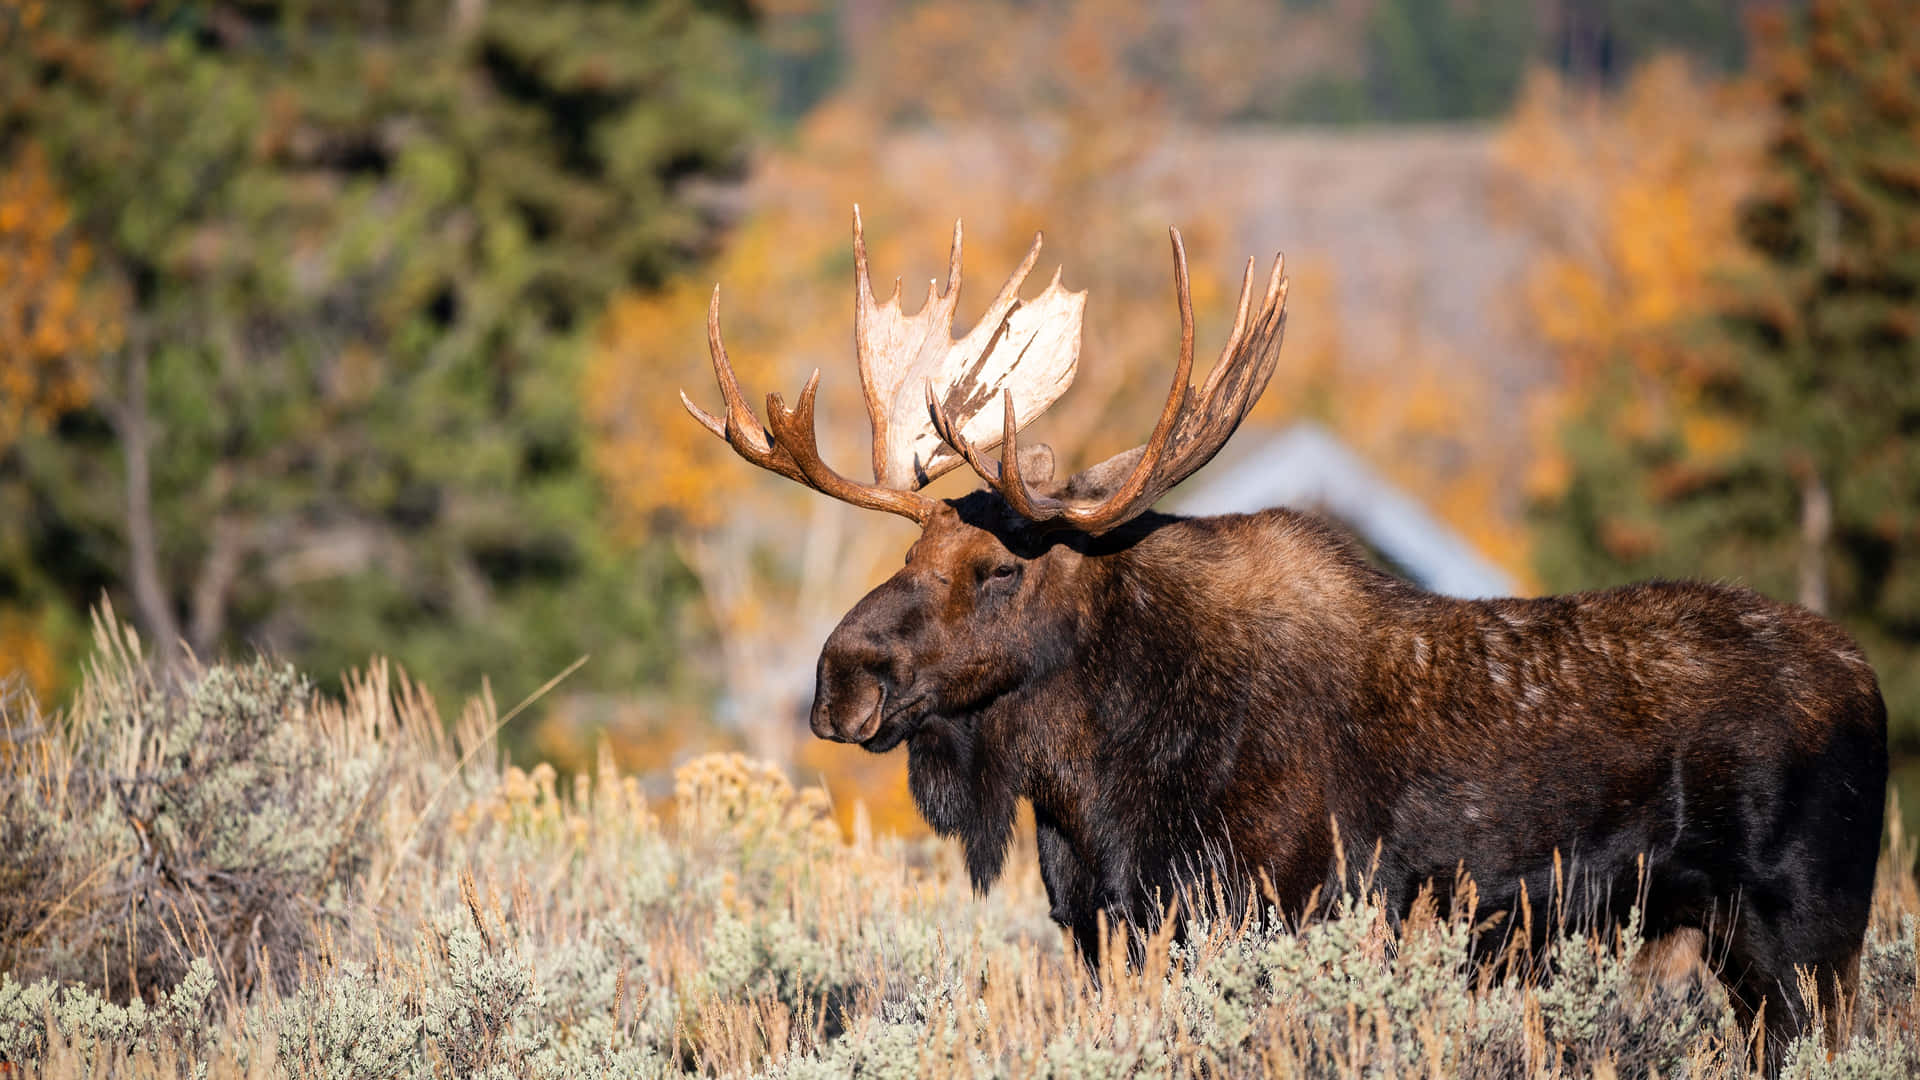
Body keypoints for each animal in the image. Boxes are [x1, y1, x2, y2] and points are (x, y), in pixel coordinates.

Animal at [683, 210, 1881, 1053]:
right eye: (906, 559)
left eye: (996, 572)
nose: (840, 680)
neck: (1092, 786)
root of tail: (1867, 683)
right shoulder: (1103, 928)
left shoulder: (1279, 907)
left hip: (1810, 930)